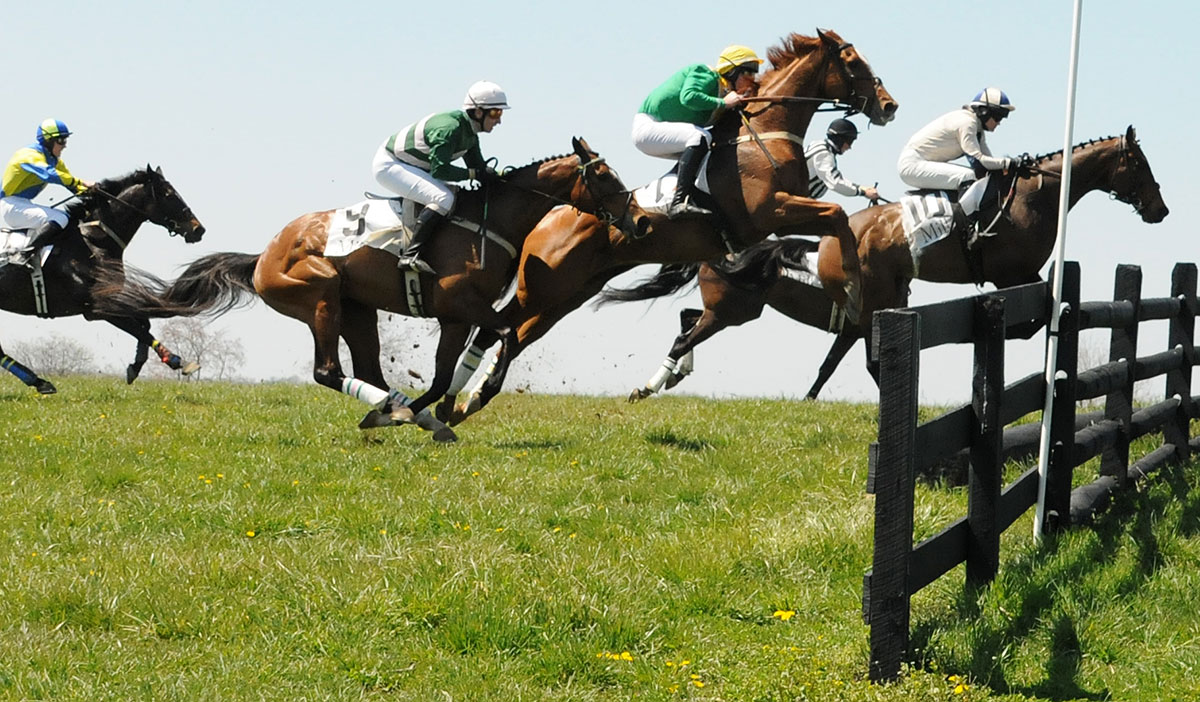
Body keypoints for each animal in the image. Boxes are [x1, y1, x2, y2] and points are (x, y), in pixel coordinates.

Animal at [0, 165, 205, 393]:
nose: (198, 229)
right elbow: (140, 330)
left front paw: (136, 366)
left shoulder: (108, 300)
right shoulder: (96, 308)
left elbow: (145, 325)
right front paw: (177, 360)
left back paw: (39, 382)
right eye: (169, 194)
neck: (93, 241)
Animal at [94, 139, 643, 441]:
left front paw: (435, 411)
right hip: (320, 295)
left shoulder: (459, 316)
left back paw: (393, 410)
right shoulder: (461, 307)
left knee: (368, 371)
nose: (637, 218)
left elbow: (450, 372)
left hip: (357, 310)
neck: (491, 222)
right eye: (604, 175)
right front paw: (456, 405)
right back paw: (394, 411)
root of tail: (263, 256)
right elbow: (496, 343)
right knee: (328, 371)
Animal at [446, 28, 897, 422]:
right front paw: (851, 287)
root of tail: (549, 215)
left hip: (567, 293)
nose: (889, 106)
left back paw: (471, 400)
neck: (765, 135)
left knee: (518, 333)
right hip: (543, 286)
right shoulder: (773, 211)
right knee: (498, 329)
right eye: (853, 62)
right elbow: (837, 216)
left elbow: (835, 221)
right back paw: (462, 399)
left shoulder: (781, 219)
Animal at [604, 126, 1166, 400]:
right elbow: (1029, 317)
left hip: (764, 307)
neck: (1036, 194)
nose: (1160, 209)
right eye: (1139, 163)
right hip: (742, 309)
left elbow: (834, 365)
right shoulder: (1010, 274)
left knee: (687, 322)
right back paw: (651, 385)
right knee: (688, 333)